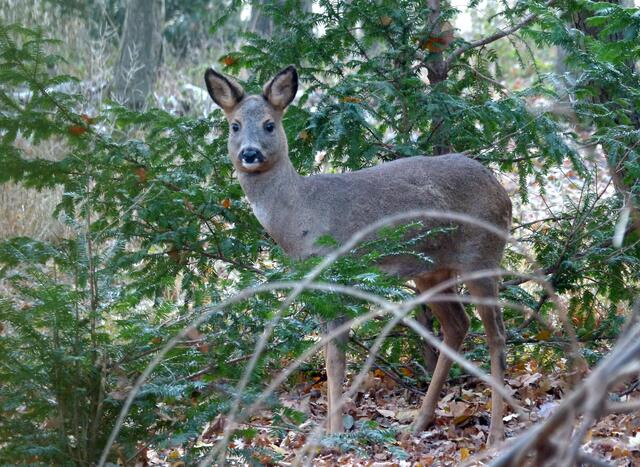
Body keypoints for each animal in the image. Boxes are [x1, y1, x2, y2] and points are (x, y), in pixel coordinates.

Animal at [204, 65, 512, 444]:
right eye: (234, 125)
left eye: (269, 124)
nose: (249, 154)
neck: (299, 216)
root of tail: (503, 192)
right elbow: (328, 356)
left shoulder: (337, 273)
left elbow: (335, 361)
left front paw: (335, 436)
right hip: (431, 270)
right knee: (458, 324)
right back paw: (419, 422)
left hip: (482, 255)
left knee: (496, 335)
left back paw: (495, 433)